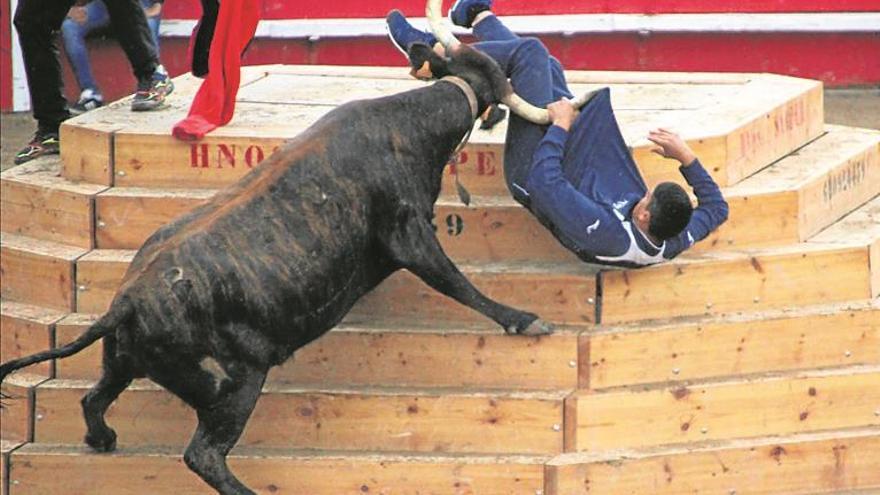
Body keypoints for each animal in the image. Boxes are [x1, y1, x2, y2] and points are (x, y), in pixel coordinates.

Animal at [0, 44, 552, 494]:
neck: (412, 122)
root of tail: (126, 304)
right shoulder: (410, 233)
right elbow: (457, 282)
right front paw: (525, 319)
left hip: (124, 361)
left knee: (94, 399)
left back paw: (103, 439)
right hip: (233, 381)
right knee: (203, 454)